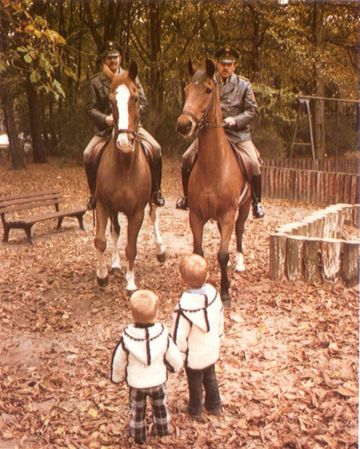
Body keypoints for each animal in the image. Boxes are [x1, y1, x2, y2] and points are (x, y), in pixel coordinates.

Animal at [93, 60, 165, 290]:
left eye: (135, 97)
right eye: (111, 101)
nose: (124, 142)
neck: (124, 165)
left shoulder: (136, 212)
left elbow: (132, 247)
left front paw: (131, 283)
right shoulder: (103, 205)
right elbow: (101, 241)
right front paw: (102, 275)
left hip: (152, 198)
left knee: (154, 214)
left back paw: (161, 250)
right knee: (115, 230)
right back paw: (115, 265)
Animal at [176, 59, 250, 304]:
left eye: (208, 90)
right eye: (186, 89)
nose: (183, 125)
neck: (214, 166)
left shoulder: (227, 214)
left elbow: (223, 253)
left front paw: (225, 291)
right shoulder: (196, 215)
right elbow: (199, 252)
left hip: (245, 207)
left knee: (239, 230)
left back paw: (239, 263)